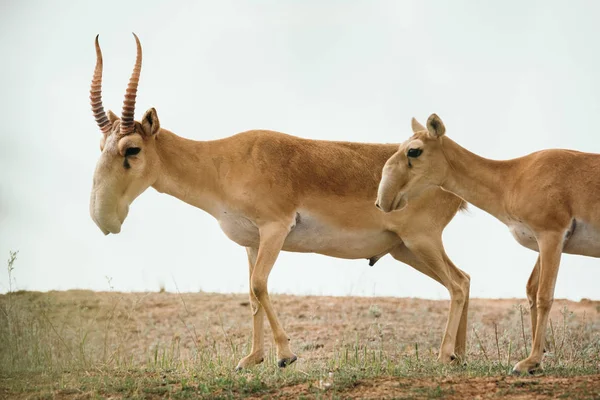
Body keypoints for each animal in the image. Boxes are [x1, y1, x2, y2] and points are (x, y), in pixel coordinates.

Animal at [90, 36, 474, 370]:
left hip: (420, 242)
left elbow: (260, 285)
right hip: (404, 249)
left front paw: (286, 356)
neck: (224, 161)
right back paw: (460, 355)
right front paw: (252, 359)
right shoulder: (251, 242)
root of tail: (452, 184)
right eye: (101, 146)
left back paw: (445, 356)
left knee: (456, 285)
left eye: (132, 149)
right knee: (464, 279)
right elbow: (251, 294)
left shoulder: (275, 229)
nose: (102, 218)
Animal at [378, 113, 600, 376]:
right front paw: (539, 358)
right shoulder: (542, 244)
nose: (383, 200)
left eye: (414, 150)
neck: (513, 177)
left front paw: (529, 362)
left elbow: (545, 295)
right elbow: (531, 290)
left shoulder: (551, 236)